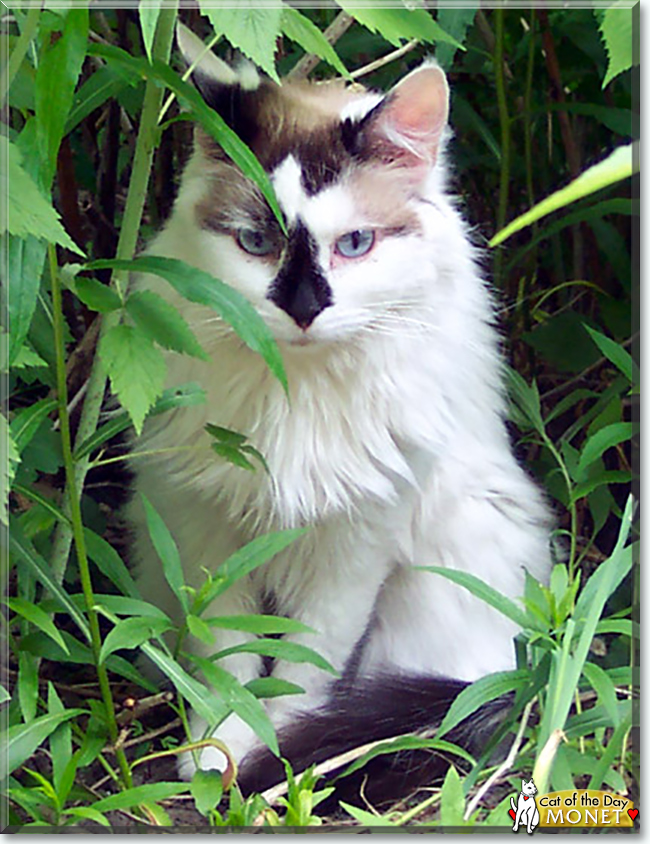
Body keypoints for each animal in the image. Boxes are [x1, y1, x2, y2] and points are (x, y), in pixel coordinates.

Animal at [128, 26, 552, 800]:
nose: (302, 308)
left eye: (354, 245)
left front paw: (280, 755)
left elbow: (308, 663)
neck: (297, 393)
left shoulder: (356, 545)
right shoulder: (207, 533)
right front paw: (223, 748)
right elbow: (227, 657)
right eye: (255, 242)